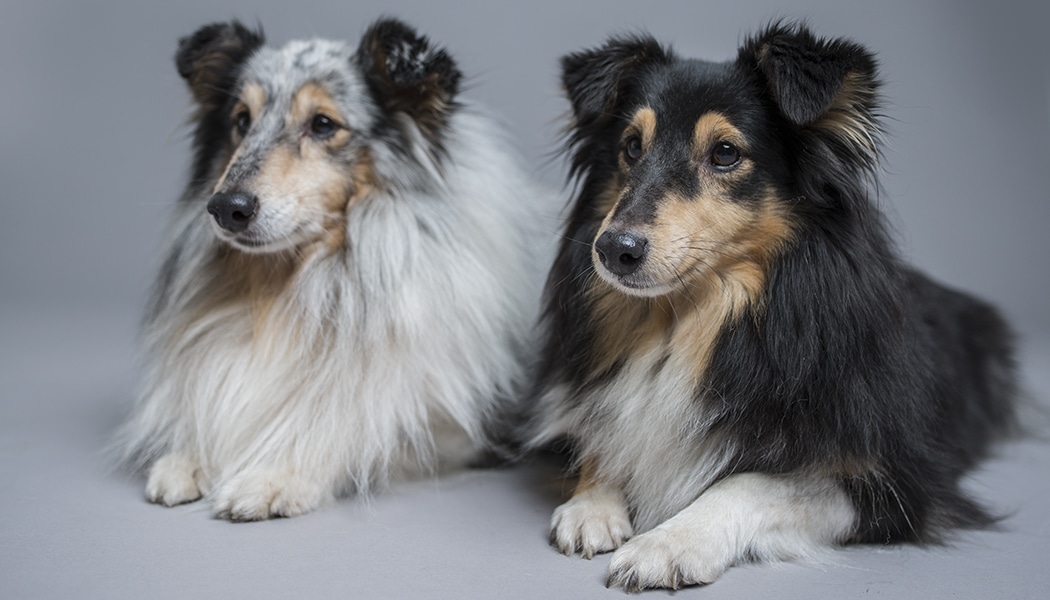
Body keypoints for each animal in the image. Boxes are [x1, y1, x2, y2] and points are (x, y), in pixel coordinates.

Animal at [120, 18, 550, 521]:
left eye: (323, 124)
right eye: (241, 121)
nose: (226, 207)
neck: (294, 283)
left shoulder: (459, 429)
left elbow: (350, 431)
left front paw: (275, 473)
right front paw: (192, 456)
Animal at [529, 23, 1020, 592]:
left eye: (725, 152)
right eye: (631, 146)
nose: (613, 250)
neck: (691, 324)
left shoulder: (893, 480)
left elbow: (749, 483)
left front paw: (667, 544)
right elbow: (603, 436)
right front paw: (592, 503)